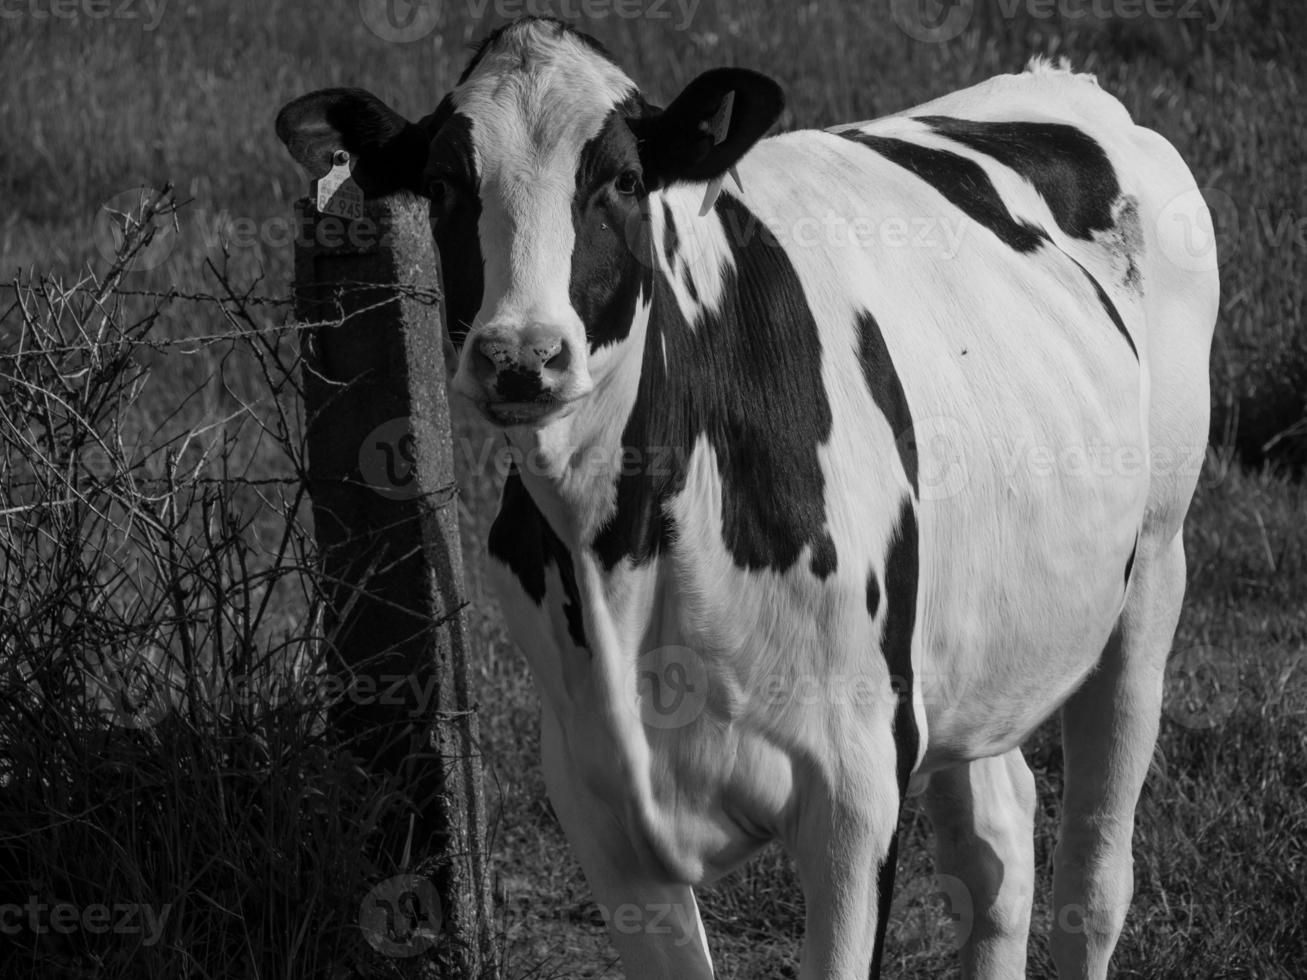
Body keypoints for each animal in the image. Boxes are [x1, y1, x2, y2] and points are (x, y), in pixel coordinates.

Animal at [275, 17, 1212, 980]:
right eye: (441, 184)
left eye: (622, 180)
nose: (520, 357)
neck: (625, 554)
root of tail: (1060, 81)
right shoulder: (594, 800)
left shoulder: (855, 792)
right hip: (980, 639)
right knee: (995, 851)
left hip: (1153, 566)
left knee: (1091, 882)